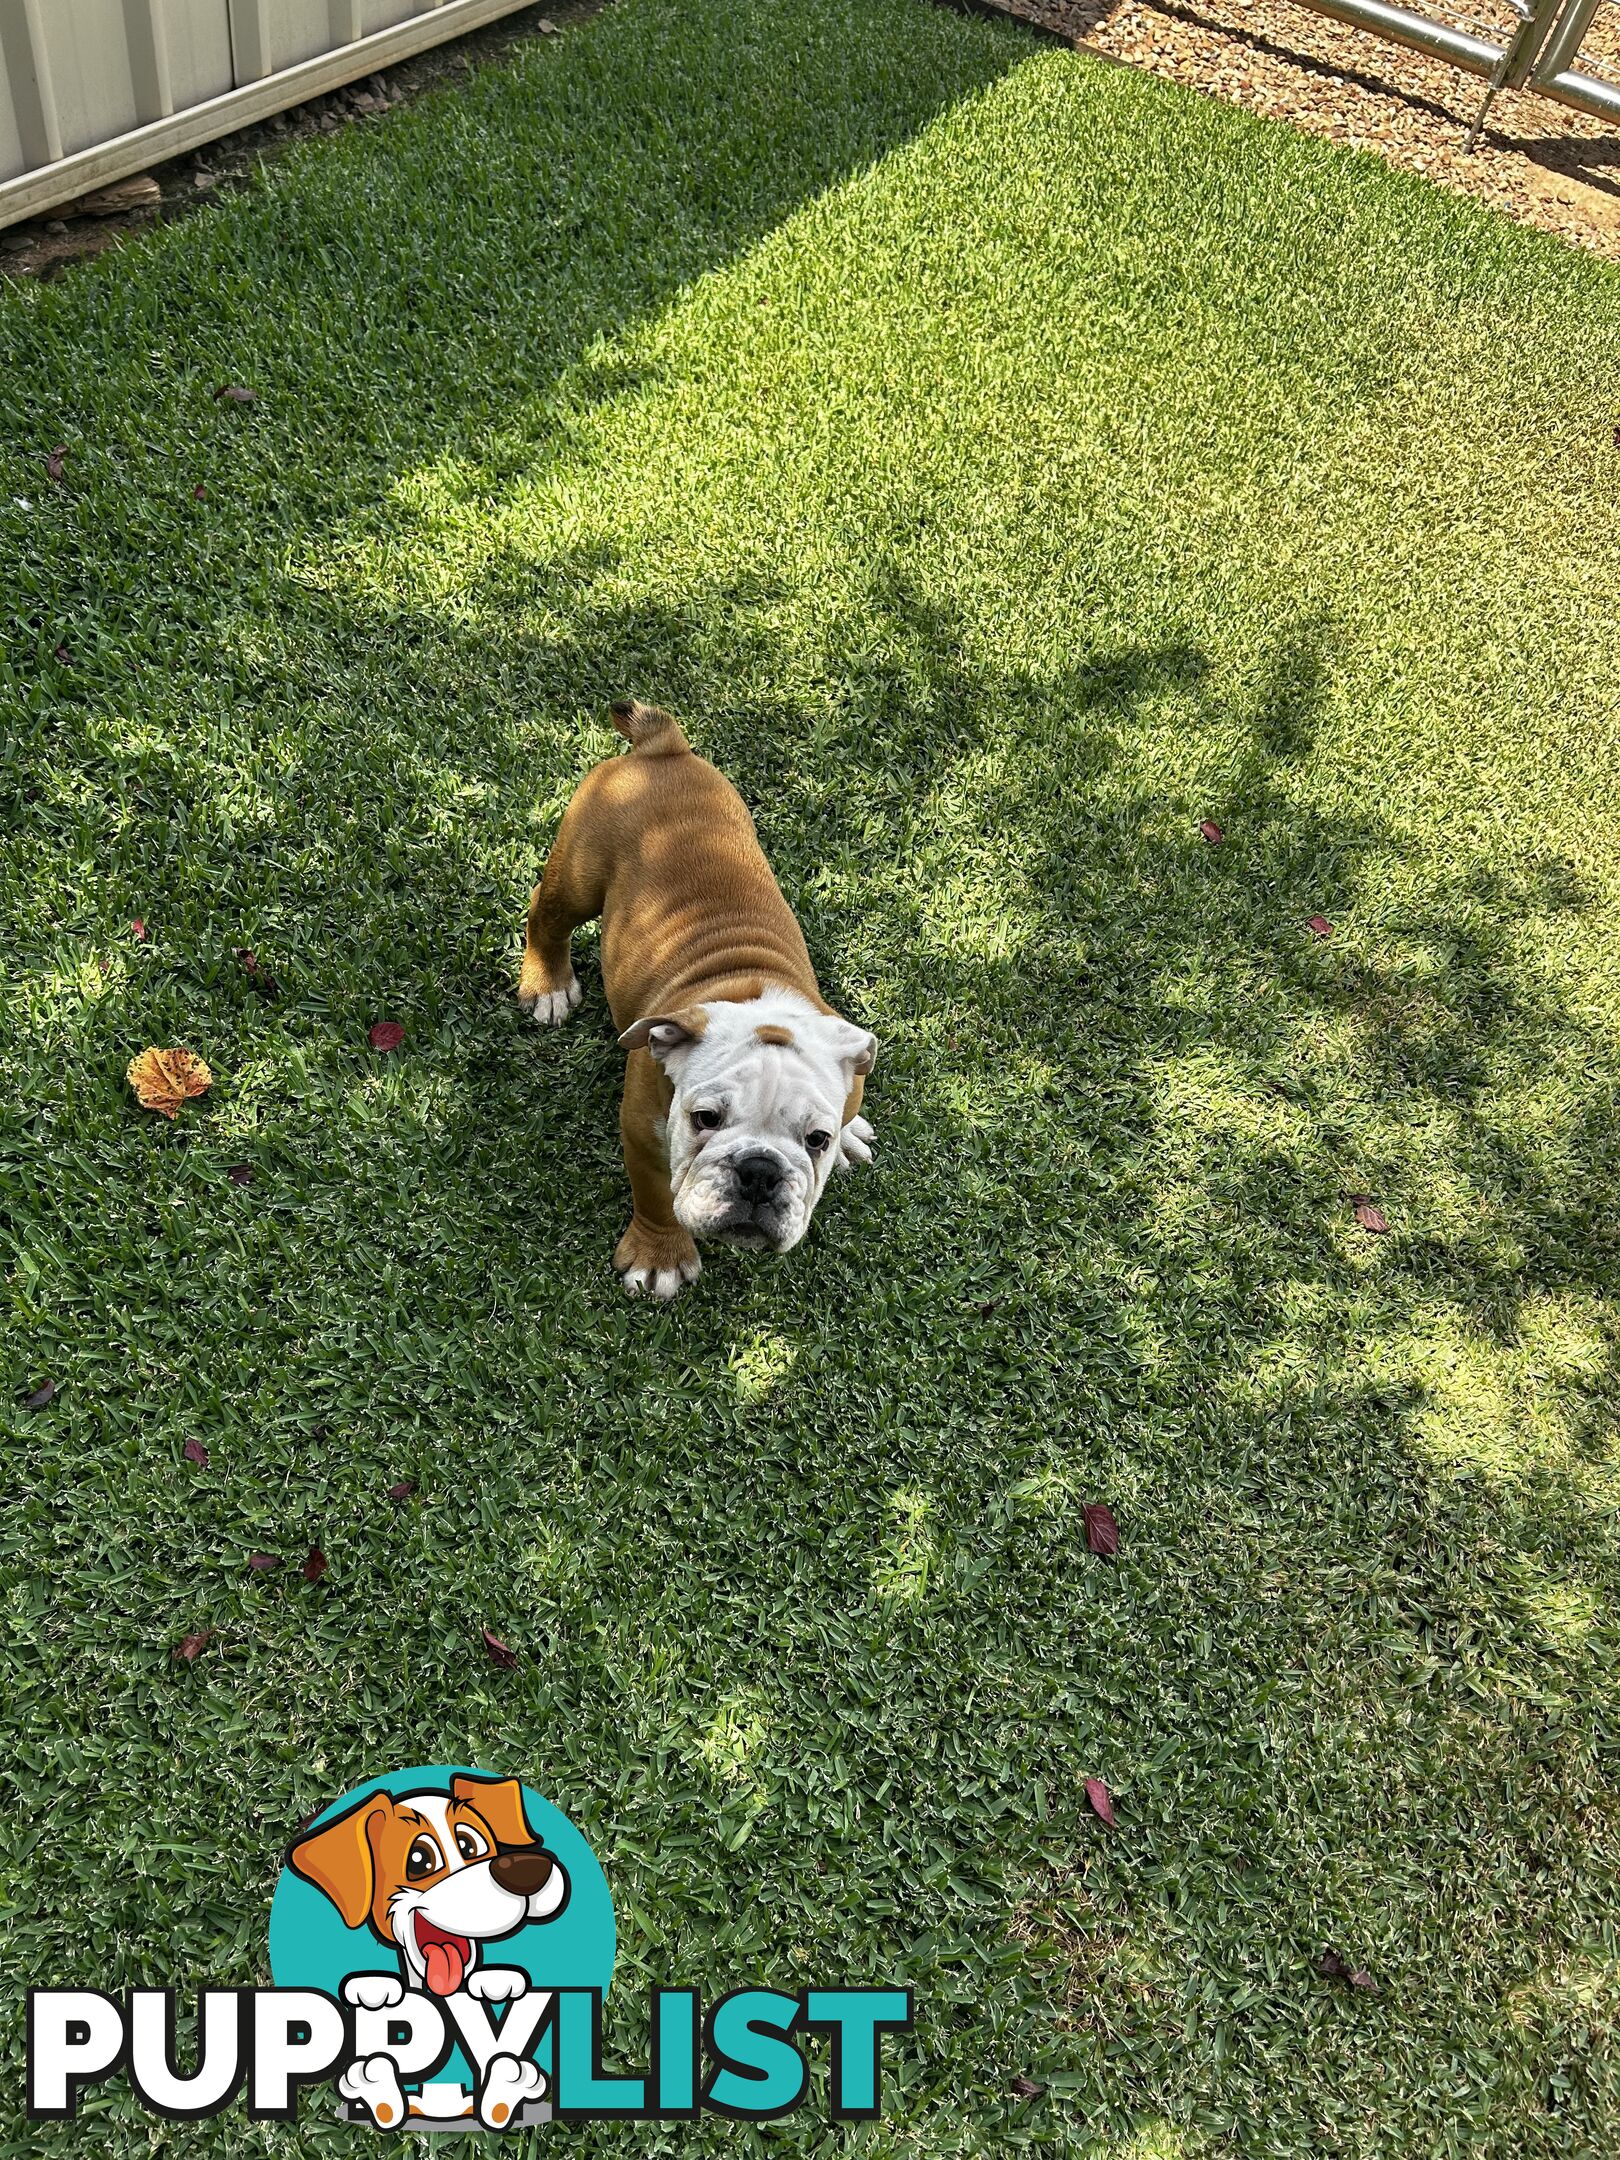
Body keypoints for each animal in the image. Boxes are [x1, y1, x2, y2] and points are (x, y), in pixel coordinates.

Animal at [516, 699, 876, 1287]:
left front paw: (848, 1134)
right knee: (546, 909)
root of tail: (662, 749)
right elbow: (658, 1198)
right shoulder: (645, 1136)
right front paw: (660, 1257)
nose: (760, 1171)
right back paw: (547, 984)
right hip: (579, 871)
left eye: (816, 1140)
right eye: (705, 1119)